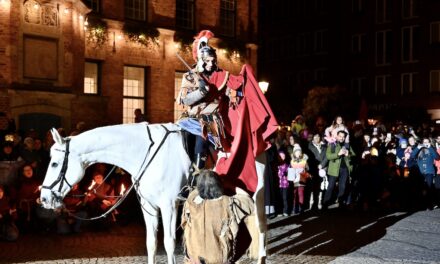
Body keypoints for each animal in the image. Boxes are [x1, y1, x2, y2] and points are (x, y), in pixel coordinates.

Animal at [40, 122, 268, 262]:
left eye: (54, 163)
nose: (43, 198)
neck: (146, 152)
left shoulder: (170, 205)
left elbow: (169, 242)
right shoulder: (147, 205)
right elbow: (151, 243)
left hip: (257, 193)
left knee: (261, 226)